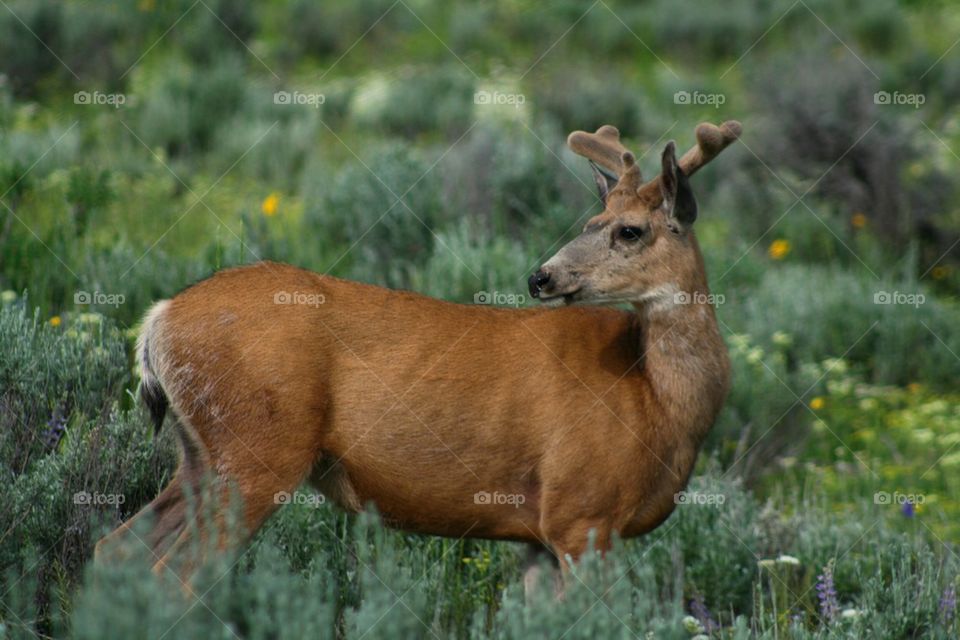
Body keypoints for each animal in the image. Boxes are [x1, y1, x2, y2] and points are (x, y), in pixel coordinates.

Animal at [94, 120, 741, 592]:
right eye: (595, 220)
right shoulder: (581, 513)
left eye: (627, 230)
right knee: (175, 575)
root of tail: (158, 321)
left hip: (199, 454)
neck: (657, 402)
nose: (541, 276)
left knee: (114, 547)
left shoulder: (540, 534)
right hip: (255, 450)